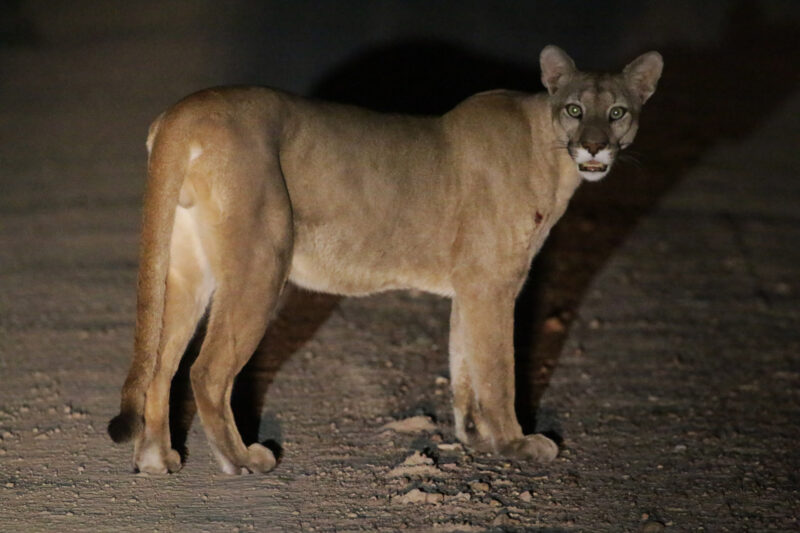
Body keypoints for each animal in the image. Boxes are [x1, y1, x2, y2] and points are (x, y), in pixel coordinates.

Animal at [111, 44, 664, 470]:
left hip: (187, 269)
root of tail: (183, 112)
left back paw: (158, 460)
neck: (549, 151)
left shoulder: (472, 285)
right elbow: (498, 370)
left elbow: (465, 364)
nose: (594, 147)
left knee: (160, 364)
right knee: (206, 371)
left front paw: (475, 438)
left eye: (618, 112)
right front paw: (516, 443)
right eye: (574, 110)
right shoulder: (494, 282)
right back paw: (243, 460)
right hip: (262, 260)